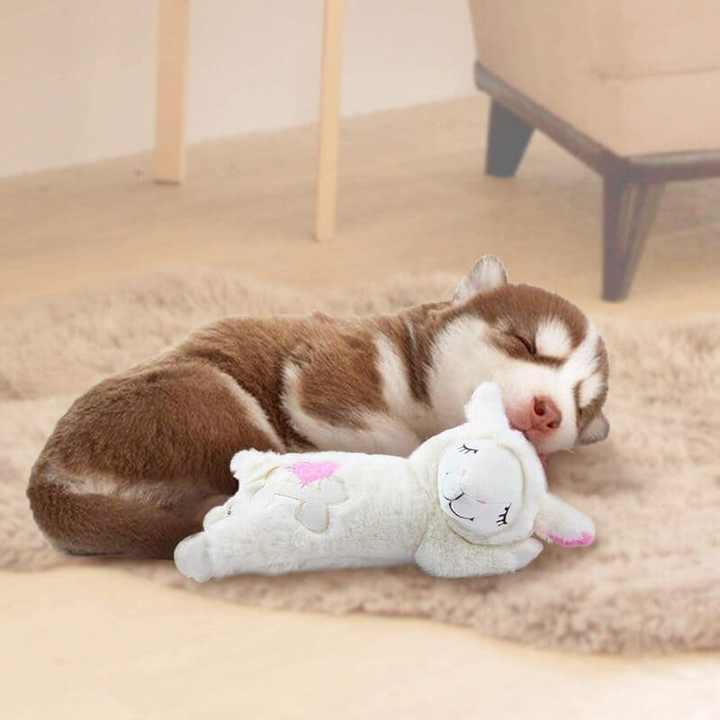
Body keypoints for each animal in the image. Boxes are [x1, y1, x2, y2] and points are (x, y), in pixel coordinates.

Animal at [27, 256, 609, 559]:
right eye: (525, 343)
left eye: (579, 405)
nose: (549, 413)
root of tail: (46, 478)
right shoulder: (325, 376)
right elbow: (397, 440)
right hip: (212, 396)